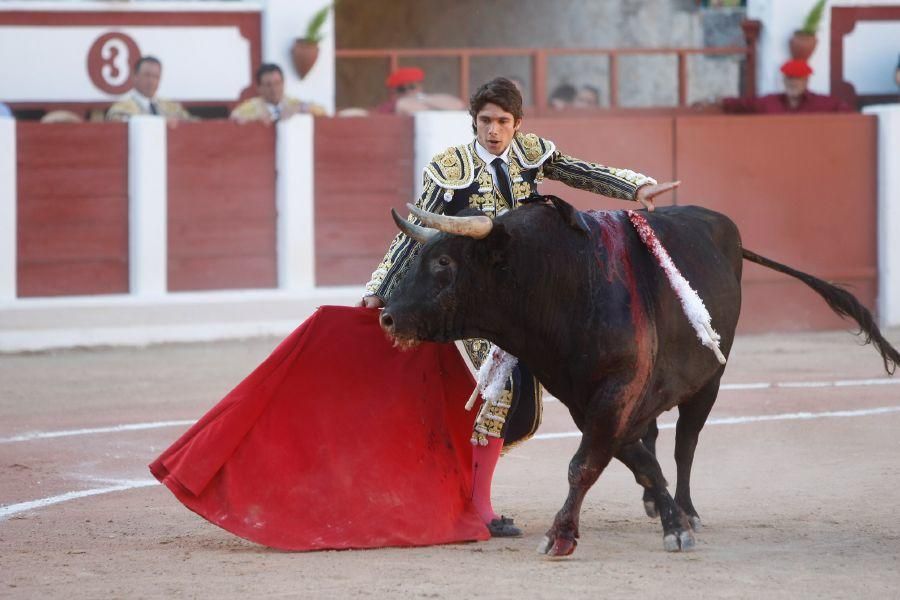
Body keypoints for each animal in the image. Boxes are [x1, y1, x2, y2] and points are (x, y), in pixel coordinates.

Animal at [376, 198, 896, 556]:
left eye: (444, 262)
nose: (388, 316)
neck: (561, 280)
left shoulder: (617, 390)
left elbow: (586, 464)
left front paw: (562, 536)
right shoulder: (588, 399)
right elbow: (636, 459)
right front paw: (666, 518)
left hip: (709, 382)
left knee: (686, 444)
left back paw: (689, 509)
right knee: (656, 439)